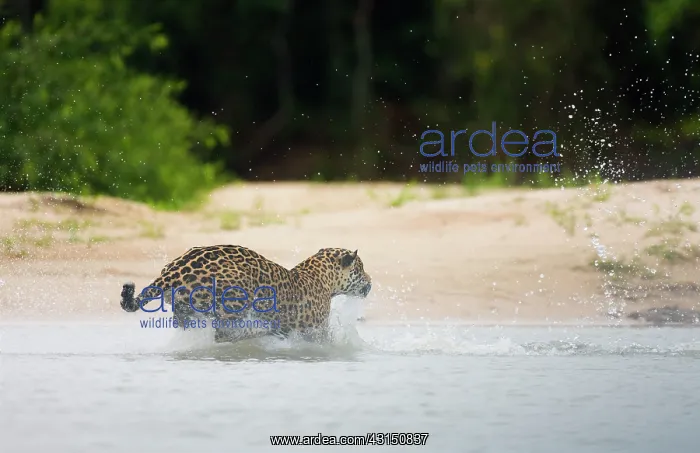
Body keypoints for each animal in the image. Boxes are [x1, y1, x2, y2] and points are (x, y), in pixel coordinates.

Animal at [119, 245, 372, 343]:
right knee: (224, 333)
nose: (370, 282)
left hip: (184, 312)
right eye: (360, 269)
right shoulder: (316, 331)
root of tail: (174, 270)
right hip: (235, 298)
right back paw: (261, 330)